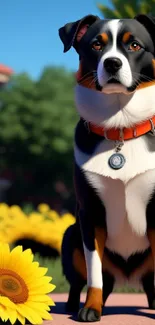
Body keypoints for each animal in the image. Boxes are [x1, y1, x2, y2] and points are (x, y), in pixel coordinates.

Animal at [59, 13, 155, 320]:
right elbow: (95, 272)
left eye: (135, 45)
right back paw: (75, 304)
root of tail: (128, 279)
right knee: (82, 281)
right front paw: (91, 307)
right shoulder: (90, 213)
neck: (120, 126)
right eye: (96, 45)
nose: (112, 63)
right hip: (71, 235)